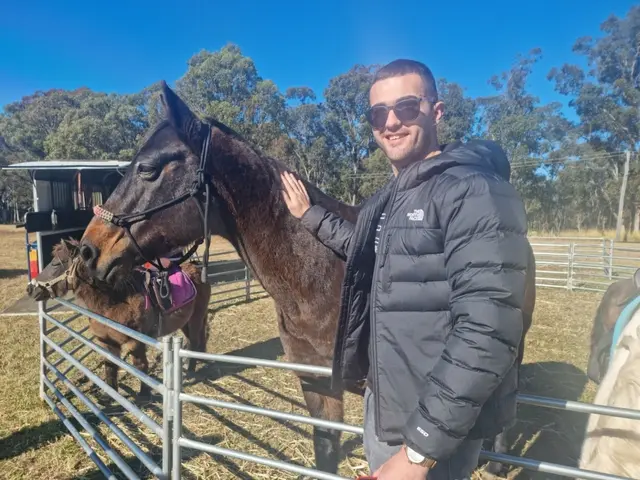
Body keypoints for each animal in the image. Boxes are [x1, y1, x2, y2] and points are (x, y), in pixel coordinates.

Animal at [27, 238, 211, 399]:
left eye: (56, 263)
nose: (30, 289)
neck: (116, 300)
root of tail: (198, 268)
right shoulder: (108, 342)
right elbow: (110, 365)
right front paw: (109, 395)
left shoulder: (136, 342)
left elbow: (140, 366)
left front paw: (144, 395)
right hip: (185, 322)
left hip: (195, 319)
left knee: (194, 341)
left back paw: (191, 369)